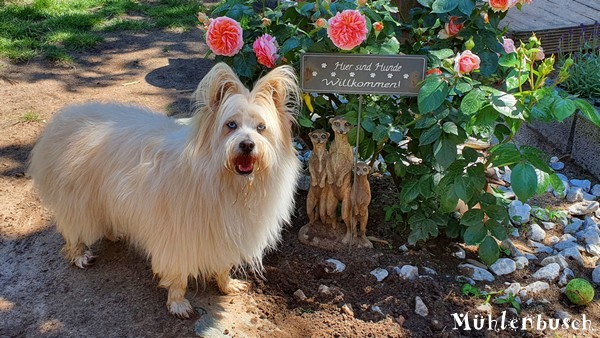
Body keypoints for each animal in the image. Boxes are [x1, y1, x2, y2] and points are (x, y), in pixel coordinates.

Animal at [27, 62, 300, 316]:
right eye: (230, 125)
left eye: (261, 128)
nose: (247, 145)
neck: (227, 181)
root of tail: (67, 116)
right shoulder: (177, 237)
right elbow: (178, 275)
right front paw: (178, 303)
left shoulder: (225, 235)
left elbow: (223, 265)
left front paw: (227, 284)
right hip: (78, 201)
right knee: (73, 230)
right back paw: (80, 254)